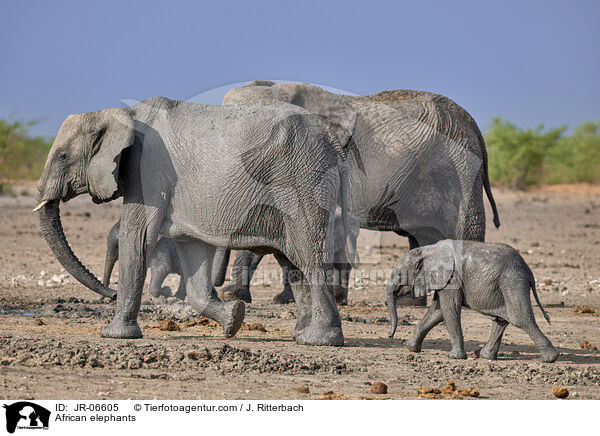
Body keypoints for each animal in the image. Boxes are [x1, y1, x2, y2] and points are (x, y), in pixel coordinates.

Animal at [34, 97, 356, 346]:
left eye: (63, 156)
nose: (110, 293)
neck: (120, 113)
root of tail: (332, 140)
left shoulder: (148, 172)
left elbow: (136, 238)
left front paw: (114, 335)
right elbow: (192, 251)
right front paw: (234, 319)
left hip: (305, 180)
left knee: (309, 255)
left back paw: (320, 340)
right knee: (291, 261)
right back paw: (300, 336)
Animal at [218, 82, 500, 306]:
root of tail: (473, 125)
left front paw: (235, 296)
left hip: (459, 166)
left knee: (464, 227)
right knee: (422, 235)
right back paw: (409, 301)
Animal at [386, 240, 560, 362]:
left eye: (400, 275)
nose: (390, 336)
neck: (428, 250)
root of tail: (529, 271)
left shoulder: (452, 278)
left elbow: (449, 310)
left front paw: (455, 357)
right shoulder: (444, 280)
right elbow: (438, 312)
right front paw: (410, 347)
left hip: (512, 282)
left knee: (521, 319)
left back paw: (551, 358)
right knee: (501, 320)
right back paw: (485, 356)